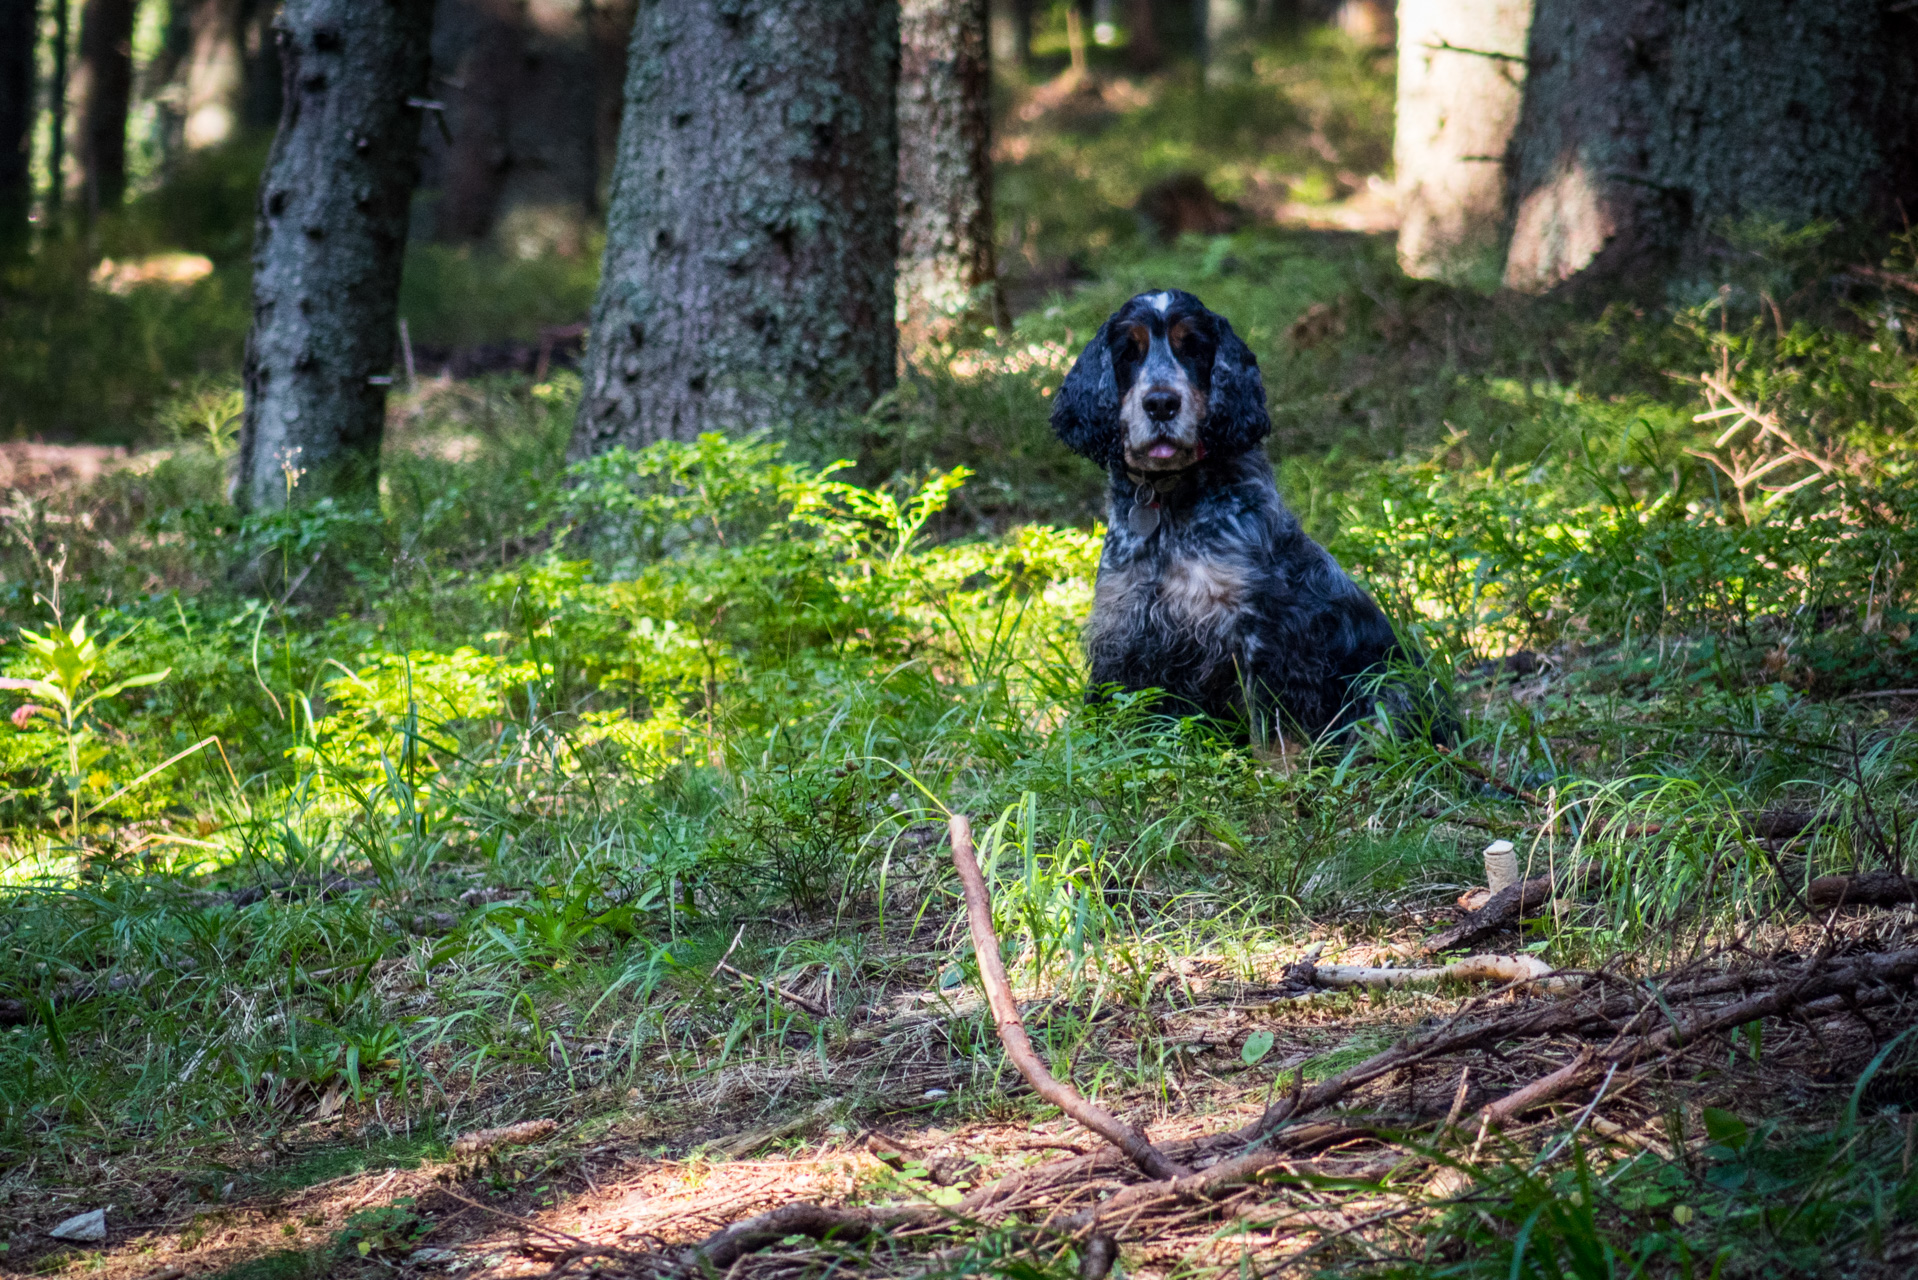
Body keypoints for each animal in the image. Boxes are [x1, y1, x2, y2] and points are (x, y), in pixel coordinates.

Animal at [1051, 289, 1442, 744]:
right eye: (1128, 353)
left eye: (1194, 348)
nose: (1161, 404)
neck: (1169, 502)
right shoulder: (1124, 627)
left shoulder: (1260, 632)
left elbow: (1272, 729)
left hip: (1390, 688)